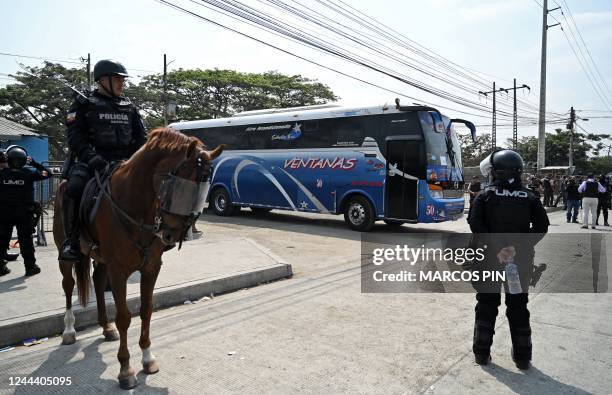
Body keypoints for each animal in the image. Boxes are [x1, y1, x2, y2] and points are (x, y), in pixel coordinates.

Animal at [53, 129, 222, 390]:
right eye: (179, 187)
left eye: (201, 192)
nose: (171, 235)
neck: (135, 207)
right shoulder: (118, 270)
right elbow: (124, 317)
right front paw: (125, 369)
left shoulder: (151, 267)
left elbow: (146, 310)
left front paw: (147, 358)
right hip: (67, 254)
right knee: (69, 286)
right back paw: (69, 330)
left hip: (102, 259)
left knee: (98, 281)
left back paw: (105, 326)